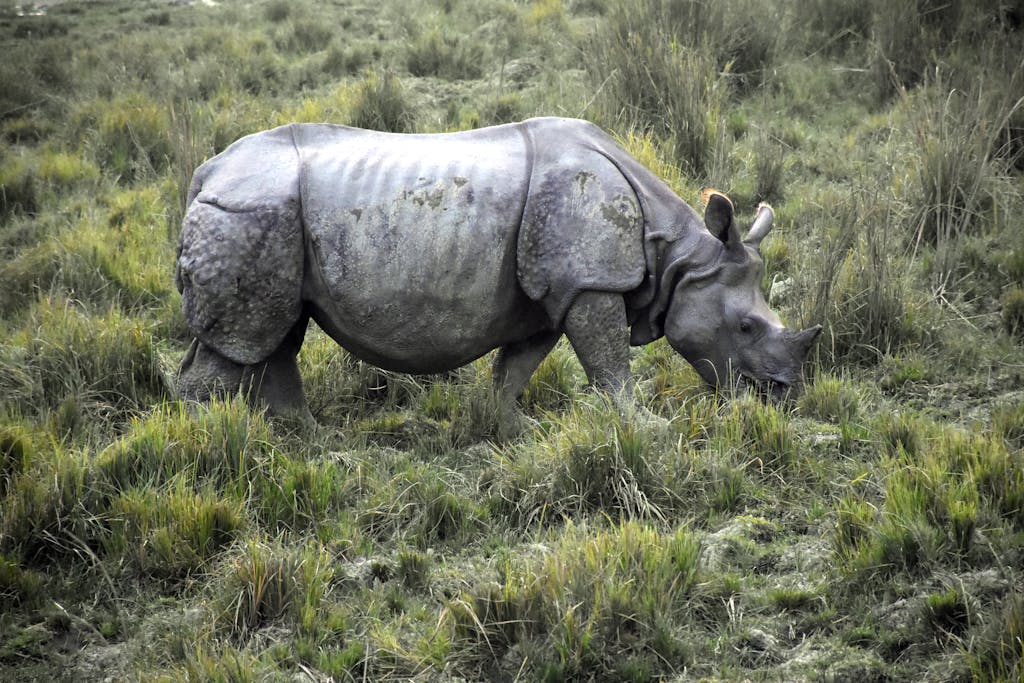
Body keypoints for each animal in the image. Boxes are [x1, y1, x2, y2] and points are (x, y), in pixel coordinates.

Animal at [175, 117, 820, 421]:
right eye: (745, 328)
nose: (783, 395)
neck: (677, 257)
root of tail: (204, 174)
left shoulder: (549, 294)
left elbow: (517, 367)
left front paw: (510, 430)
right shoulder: (589, 281)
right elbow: (610, 365)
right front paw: (646, 429)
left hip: (268, 223)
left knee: (272, 335)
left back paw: (306, 442)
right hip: (252, 213)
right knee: (247, 342)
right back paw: (206, 452)